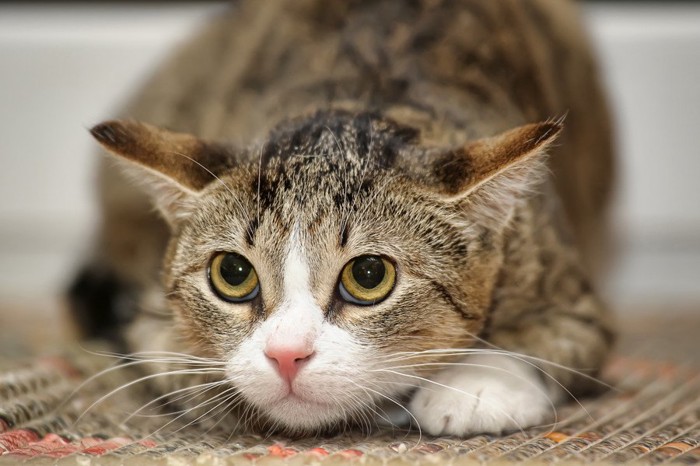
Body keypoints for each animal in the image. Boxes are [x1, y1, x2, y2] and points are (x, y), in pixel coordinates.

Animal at [68, 0, 616, 436]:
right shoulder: (148, 318)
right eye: (232, 273)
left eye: (369, 275)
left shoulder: (566, 288)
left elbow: (557, 339)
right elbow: (169, 357)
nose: (287, 355)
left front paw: (476, 385)